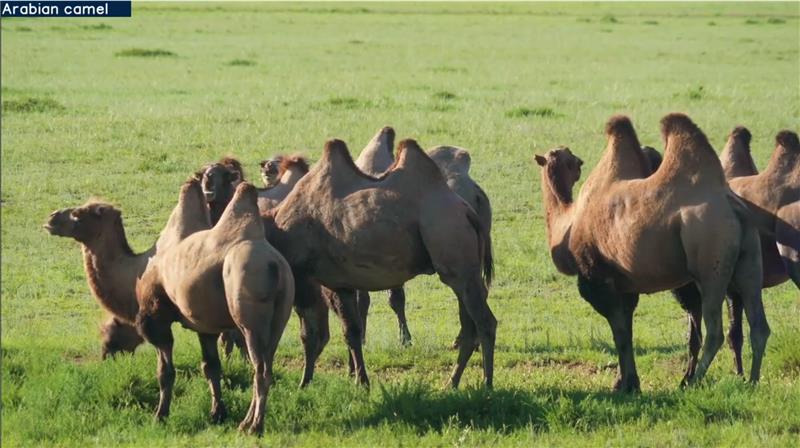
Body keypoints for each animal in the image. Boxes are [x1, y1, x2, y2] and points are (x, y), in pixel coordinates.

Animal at [136, 180, 293, 435]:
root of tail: (275, 266)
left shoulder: (156, 315)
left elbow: (165, 370)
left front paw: (160, 415)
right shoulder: (204, 326)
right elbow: (211, 366)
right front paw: (217, 412)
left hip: (250, 320)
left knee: (261, 369)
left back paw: (255, 426)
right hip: (280, 316)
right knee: (266, 363)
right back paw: (246, 422)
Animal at [265, 137, 495, 388]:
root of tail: (468, 211)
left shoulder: (318, 280)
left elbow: (312, 331)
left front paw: (307, 382)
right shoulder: (341, 283)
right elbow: (352, 331)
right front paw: (359, 380)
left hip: (453, 252)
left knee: (485, 321)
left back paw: (486, 384)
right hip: (463, 271)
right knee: (470, 324)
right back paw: (452, 383)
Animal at [534, 113, 770, 391]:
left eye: (571, 159)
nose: (578, 162)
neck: (568, 224)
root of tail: (733, 207)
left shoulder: (597, 278)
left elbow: (619, 331)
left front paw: (626, 384)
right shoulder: (624, 283)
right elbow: (626, 329)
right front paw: (626, 382)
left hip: (709, 258)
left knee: (715, 330)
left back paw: (693, 381)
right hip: (749, 256)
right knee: (758, 323)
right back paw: (752, 380)